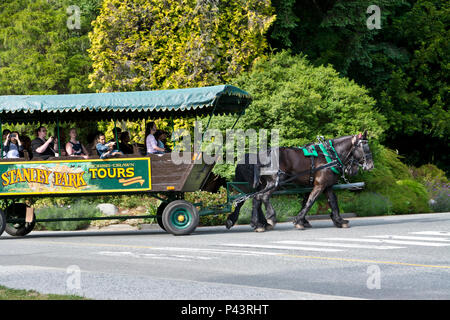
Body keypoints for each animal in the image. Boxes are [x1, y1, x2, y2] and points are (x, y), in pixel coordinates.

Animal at [227, 131, 374, 231]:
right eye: (365, 148)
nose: (371, 166)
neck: (330, 155)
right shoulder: (319, 185)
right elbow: (310, 202)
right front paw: (298, 221)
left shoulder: (327, 186)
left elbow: (333, 202)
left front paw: (339, 220)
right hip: (275, 182)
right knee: (261, 197)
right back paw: (270, 218)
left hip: (265, 184)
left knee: (255, 199)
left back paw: (257, 223)